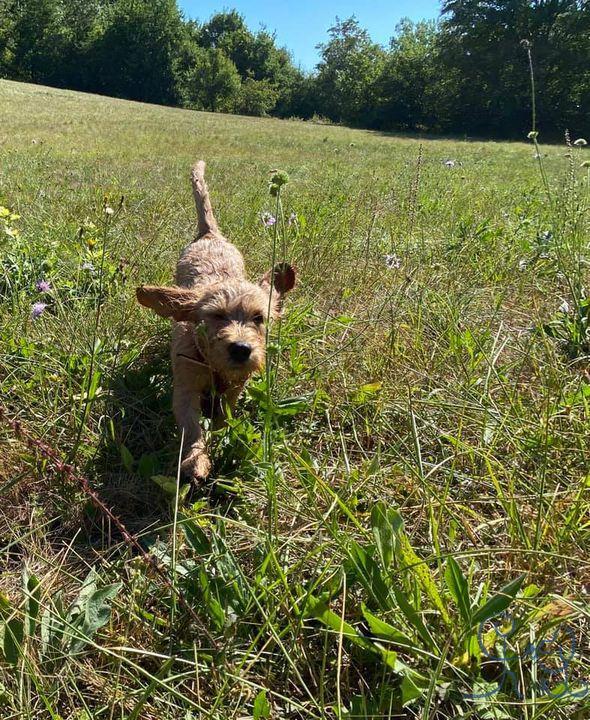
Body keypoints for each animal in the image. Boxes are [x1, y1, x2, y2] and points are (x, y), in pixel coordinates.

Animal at [138, 160, 296, 480]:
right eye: (216, 316)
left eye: (259, 318)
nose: (241, 349)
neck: (211, 363)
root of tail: (210, 235)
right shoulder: (185, 389)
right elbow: (191, 426)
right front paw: (197, 459)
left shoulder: (234, 389)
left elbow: (225, 416)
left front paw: (220, 437)